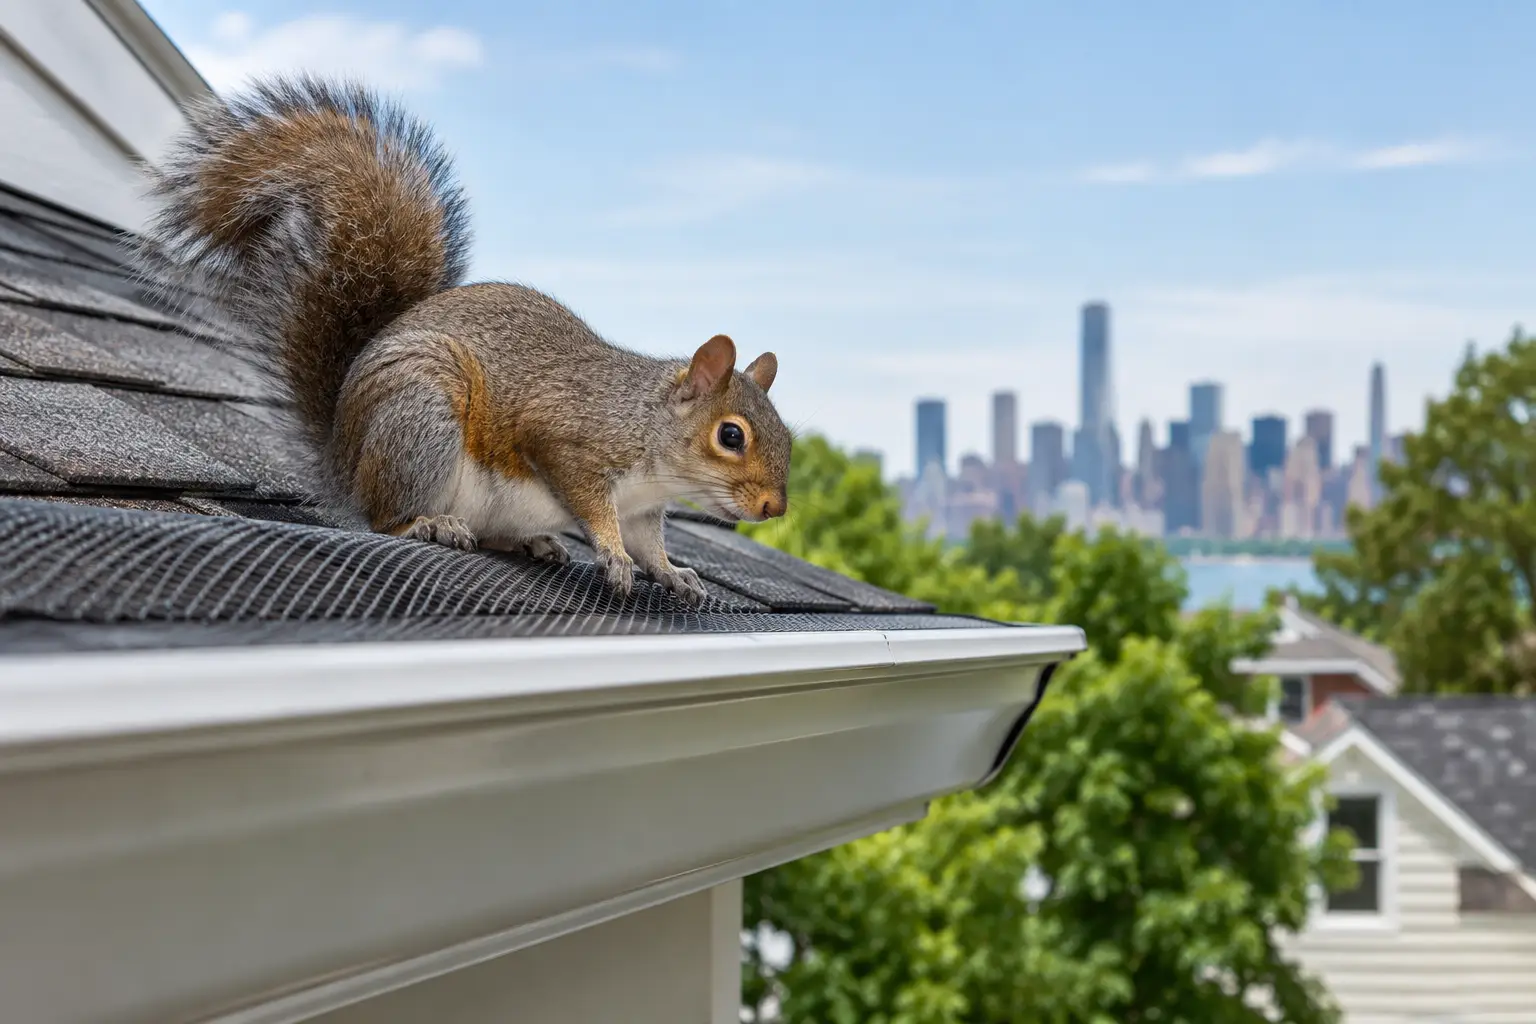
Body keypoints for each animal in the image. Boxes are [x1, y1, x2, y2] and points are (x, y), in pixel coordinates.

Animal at [135, 76, 791, 607]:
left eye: (784, 435)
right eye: (731, 436)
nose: (774, 508)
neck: (645, 427)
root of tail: (343, 460)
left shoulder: (645, 508)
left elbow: (651, 546)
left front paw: (674, 572)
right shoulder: (569, 439)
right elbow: (591, 503)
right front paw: (612, 556)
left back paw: (533, 542)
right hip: (420, 419)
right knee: (386, 519)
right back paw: (430, 525)